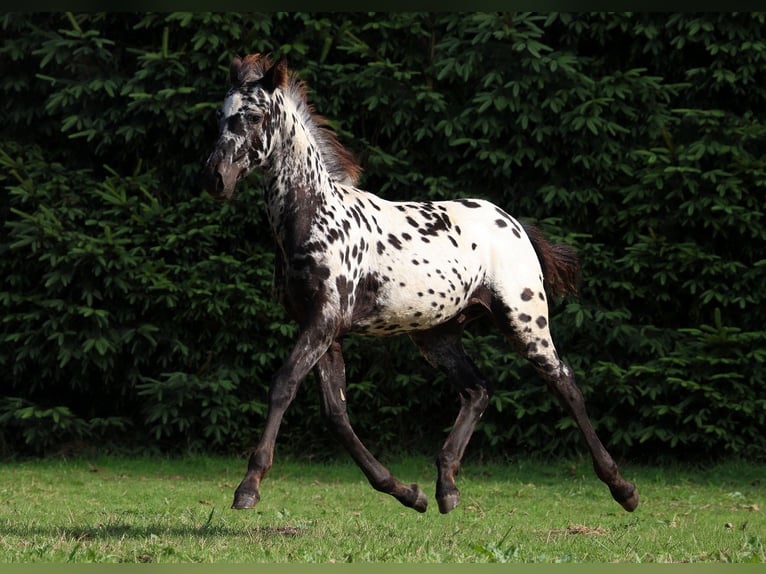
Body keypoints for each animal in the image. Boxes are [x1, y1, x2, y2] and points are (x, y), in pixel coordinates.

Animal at [200, 53, 638, 515]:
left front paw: (248, 486)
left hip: (524, 321)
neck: (315, 214)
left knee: (565, 383)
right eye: (219, 116)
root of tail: (514, 223)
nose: (215, 178)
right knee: (478, 390)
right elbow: (335, 414)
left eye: (254, 115)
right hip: (437, 336)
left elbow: (283, 385)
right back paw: (446, 487)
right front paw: (407, 493)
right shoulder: (324, 329)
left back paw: (623, 488)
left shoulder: (322, 321)